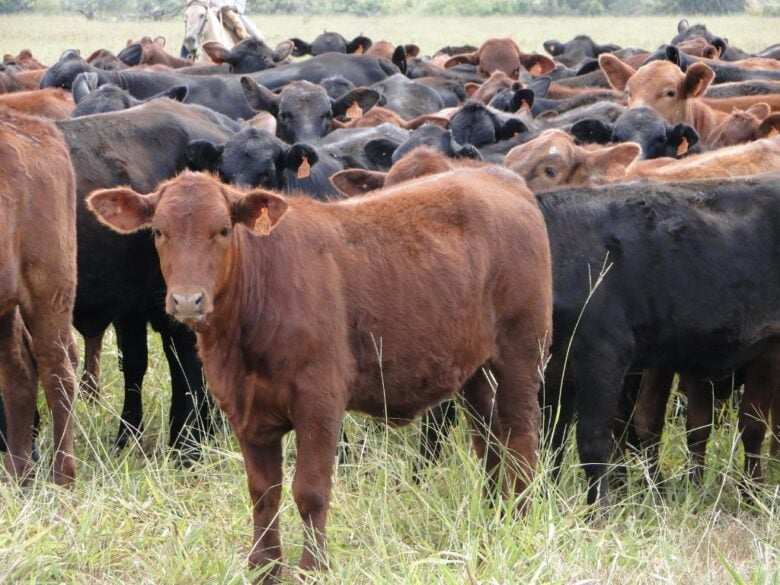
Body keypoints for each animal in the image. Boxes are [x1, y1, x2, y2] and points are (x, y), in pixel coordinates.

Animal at [88, 170, 552, 580]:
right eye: (158, 232)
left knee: (521, 436)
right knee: (489, 438)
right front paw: (264, 568)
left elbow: (309, 490)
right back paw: (493, 513)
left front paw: (312, 568)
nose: (187, 300)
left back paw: (519, 520)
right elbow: (263, 491)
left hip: (521, 352)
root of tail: (500, 179)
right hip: (473, 369)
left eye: (221, 230)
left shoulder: (320, 401)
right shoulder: (245, 409)